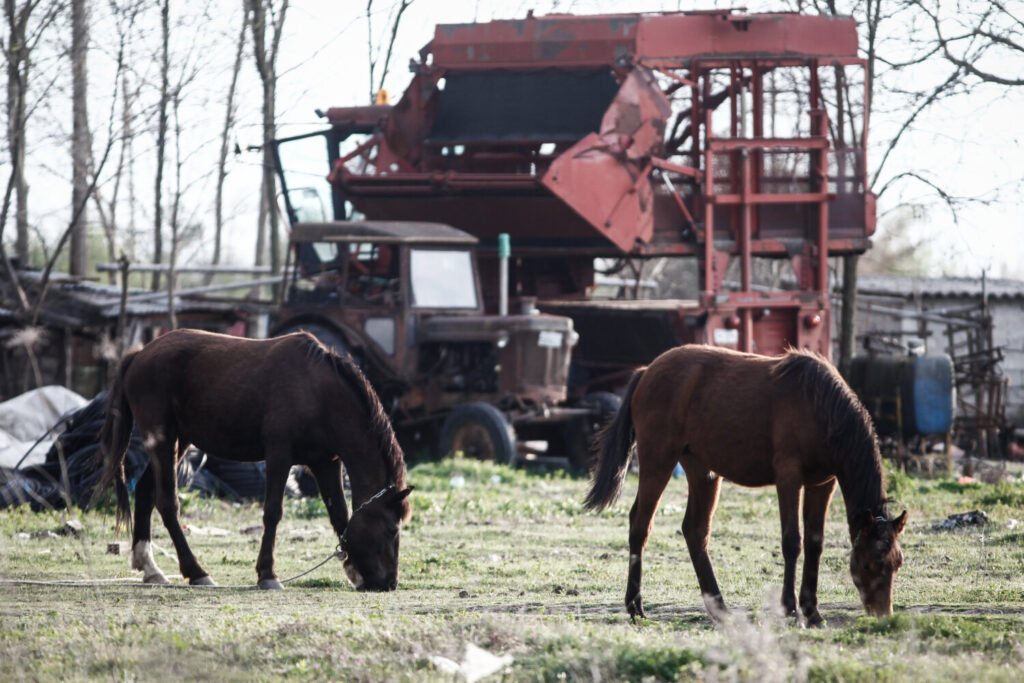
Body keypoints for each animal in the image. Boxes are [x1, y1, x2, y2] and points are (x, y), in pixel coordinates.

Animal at [96, 327, 413, 589]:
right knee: (167, 503)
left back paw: (150, 567)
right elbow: (273, 512)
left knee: (145, 491)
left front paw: (353, 569)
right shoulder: (279, 455)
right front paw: (267, 574)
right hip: (163, 441)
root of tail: (140, 355)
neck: (317, 392)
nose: (388, 583)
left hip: (179, 441)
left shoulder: (326, 463)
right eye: (390, 530)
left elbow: (340, 516)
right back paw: (196, 572)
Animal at [581, 348, 909, 626]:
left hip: (703, 472)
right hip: (658, 462)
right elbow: (793, 541)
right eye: (867, 565)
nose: (884, 614)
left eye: (896, 564)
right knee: (640, 525)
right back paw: (635, 606)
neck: (819, 406)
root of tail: (647, 371)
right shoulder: (789, 478)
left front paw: (812, 612)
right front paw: (791, 609)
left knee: (695, 531)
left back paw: (718, 608)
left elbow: (815, 544)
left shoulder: (822, 484)